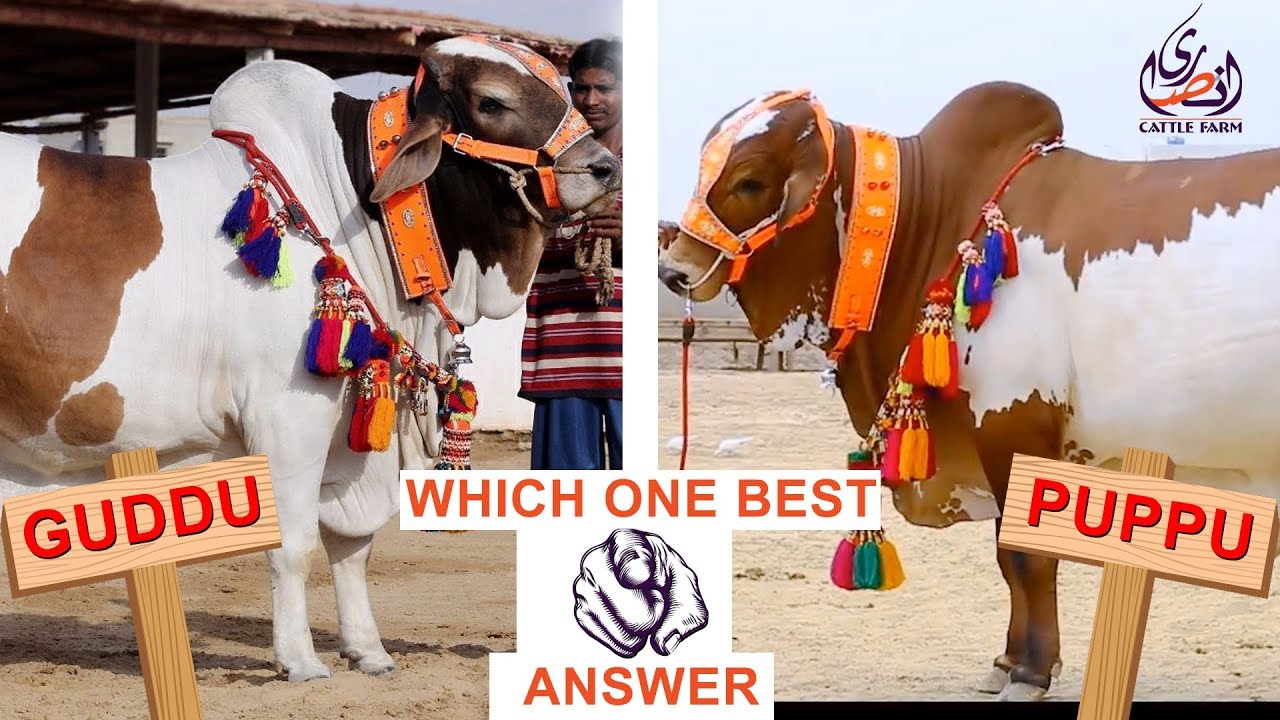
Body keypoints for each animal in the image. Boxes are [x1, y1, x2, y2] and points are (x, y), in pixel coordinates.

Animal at [0, 36, 620, 682]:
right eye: (492, 101)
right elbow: (293, 543)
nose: (605, 167)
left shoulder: (353, 428)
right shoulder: (289, 416)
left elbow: (352, 545)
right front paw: (299, 659)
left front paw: (368, 650)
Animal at [658, 80, 1280, 701]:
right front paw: (1008, 661)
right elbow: (1007, 557)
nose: (673, 269)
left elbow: (1027, 557)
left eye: (750, 180)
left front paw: (1030, 672)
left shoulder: (1013, 423)